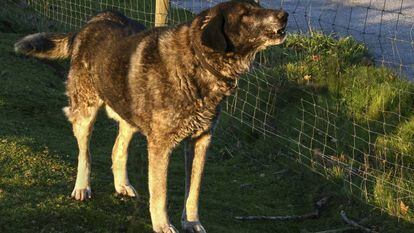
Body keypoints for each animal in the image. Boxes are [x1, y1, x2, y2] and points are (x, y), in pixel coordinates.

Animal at [15, 0, 288, 232]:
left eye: (259, 5)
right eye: (245, 14)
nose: (284, 15)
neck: (197, 62)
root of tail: (89, 23)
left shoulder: (201, 141)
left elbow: (194, 190)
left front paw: (191, 222)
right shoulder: (160, 146)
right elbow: (160, 192)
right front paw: (162, 225)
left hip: (129, 116)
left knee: (117, 149)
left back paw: (122, 184)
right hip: (85, 112)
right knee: (85, 153)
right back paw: (82, 187)